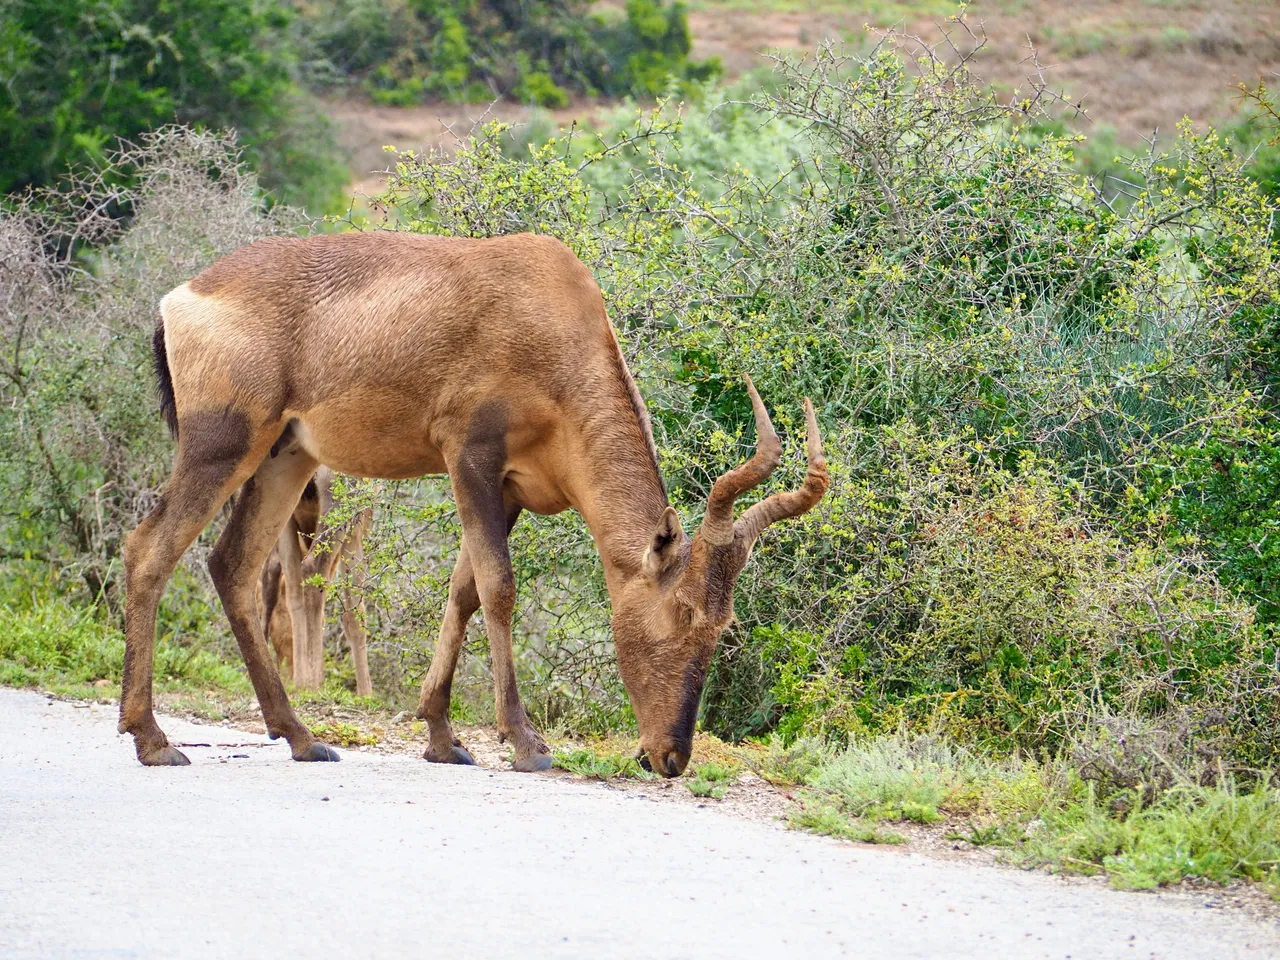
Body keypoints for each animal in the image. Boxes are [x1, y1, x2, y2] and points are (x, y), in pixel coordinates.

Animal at [257, 468, 373, 701]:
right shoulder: (357, 523)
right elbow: (355, 615)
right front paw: (366, 694)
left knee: (286, 583)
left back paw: (297, 678)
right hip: (336, 497)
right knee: (310, 569)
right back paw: (311, 682)